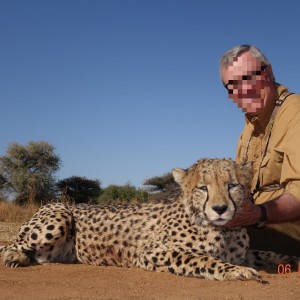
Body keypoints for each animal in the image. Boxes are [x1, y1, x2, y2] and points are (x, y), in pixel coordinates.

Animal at [0, 159, 298, 282]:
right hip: (60, 213)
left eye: (232, 185)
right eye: (203, 187)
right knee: (10, 245)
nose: (220, 209)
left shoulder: (244, 251)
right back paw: (14, 256)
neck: (223, 230)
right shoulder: (153, 253)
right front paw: (236, 271)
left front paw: (291, 259)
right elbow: (204, 259)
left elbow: (266, 253)